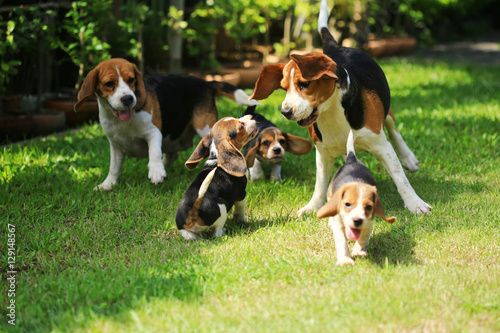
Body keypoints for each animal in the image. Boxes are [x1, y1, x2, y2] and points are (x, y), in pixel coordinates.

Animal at [77, 57, 262, 189]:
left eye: (131, 80)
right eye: (109, 84)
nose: (128, 98)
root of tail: (205, 82)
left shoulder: (153, 132)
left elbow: (154, 152)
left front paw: (156, 172)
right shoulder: (115, 144)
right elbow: (114, 167)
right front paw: (107, 185)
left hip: (205, 128)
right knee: (172, 154)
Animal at [248, 0, 432, 217]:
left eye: (304, 84)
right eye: (284, 88)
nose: (285, 112)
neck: (332, 115)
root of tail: (337, 47)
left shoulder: (382, 146)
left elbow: (400, 178)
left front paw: (415, 203)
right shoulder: (322, 154)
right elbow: (320, 185)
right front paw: (313, 206)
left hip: (387, 113)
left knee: (394, 131)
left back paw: (408, 158)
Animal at [318, 130, 396, 264]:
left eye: (369, 207)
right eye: (347, 204)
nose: (357, 220)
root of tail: (352, 161)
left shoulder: (369, 222)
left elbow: (363, 236)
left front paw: (359, 251)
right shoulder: (339, 225)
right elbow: (342, 242)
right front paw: (345, 260)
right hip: (329, 194)